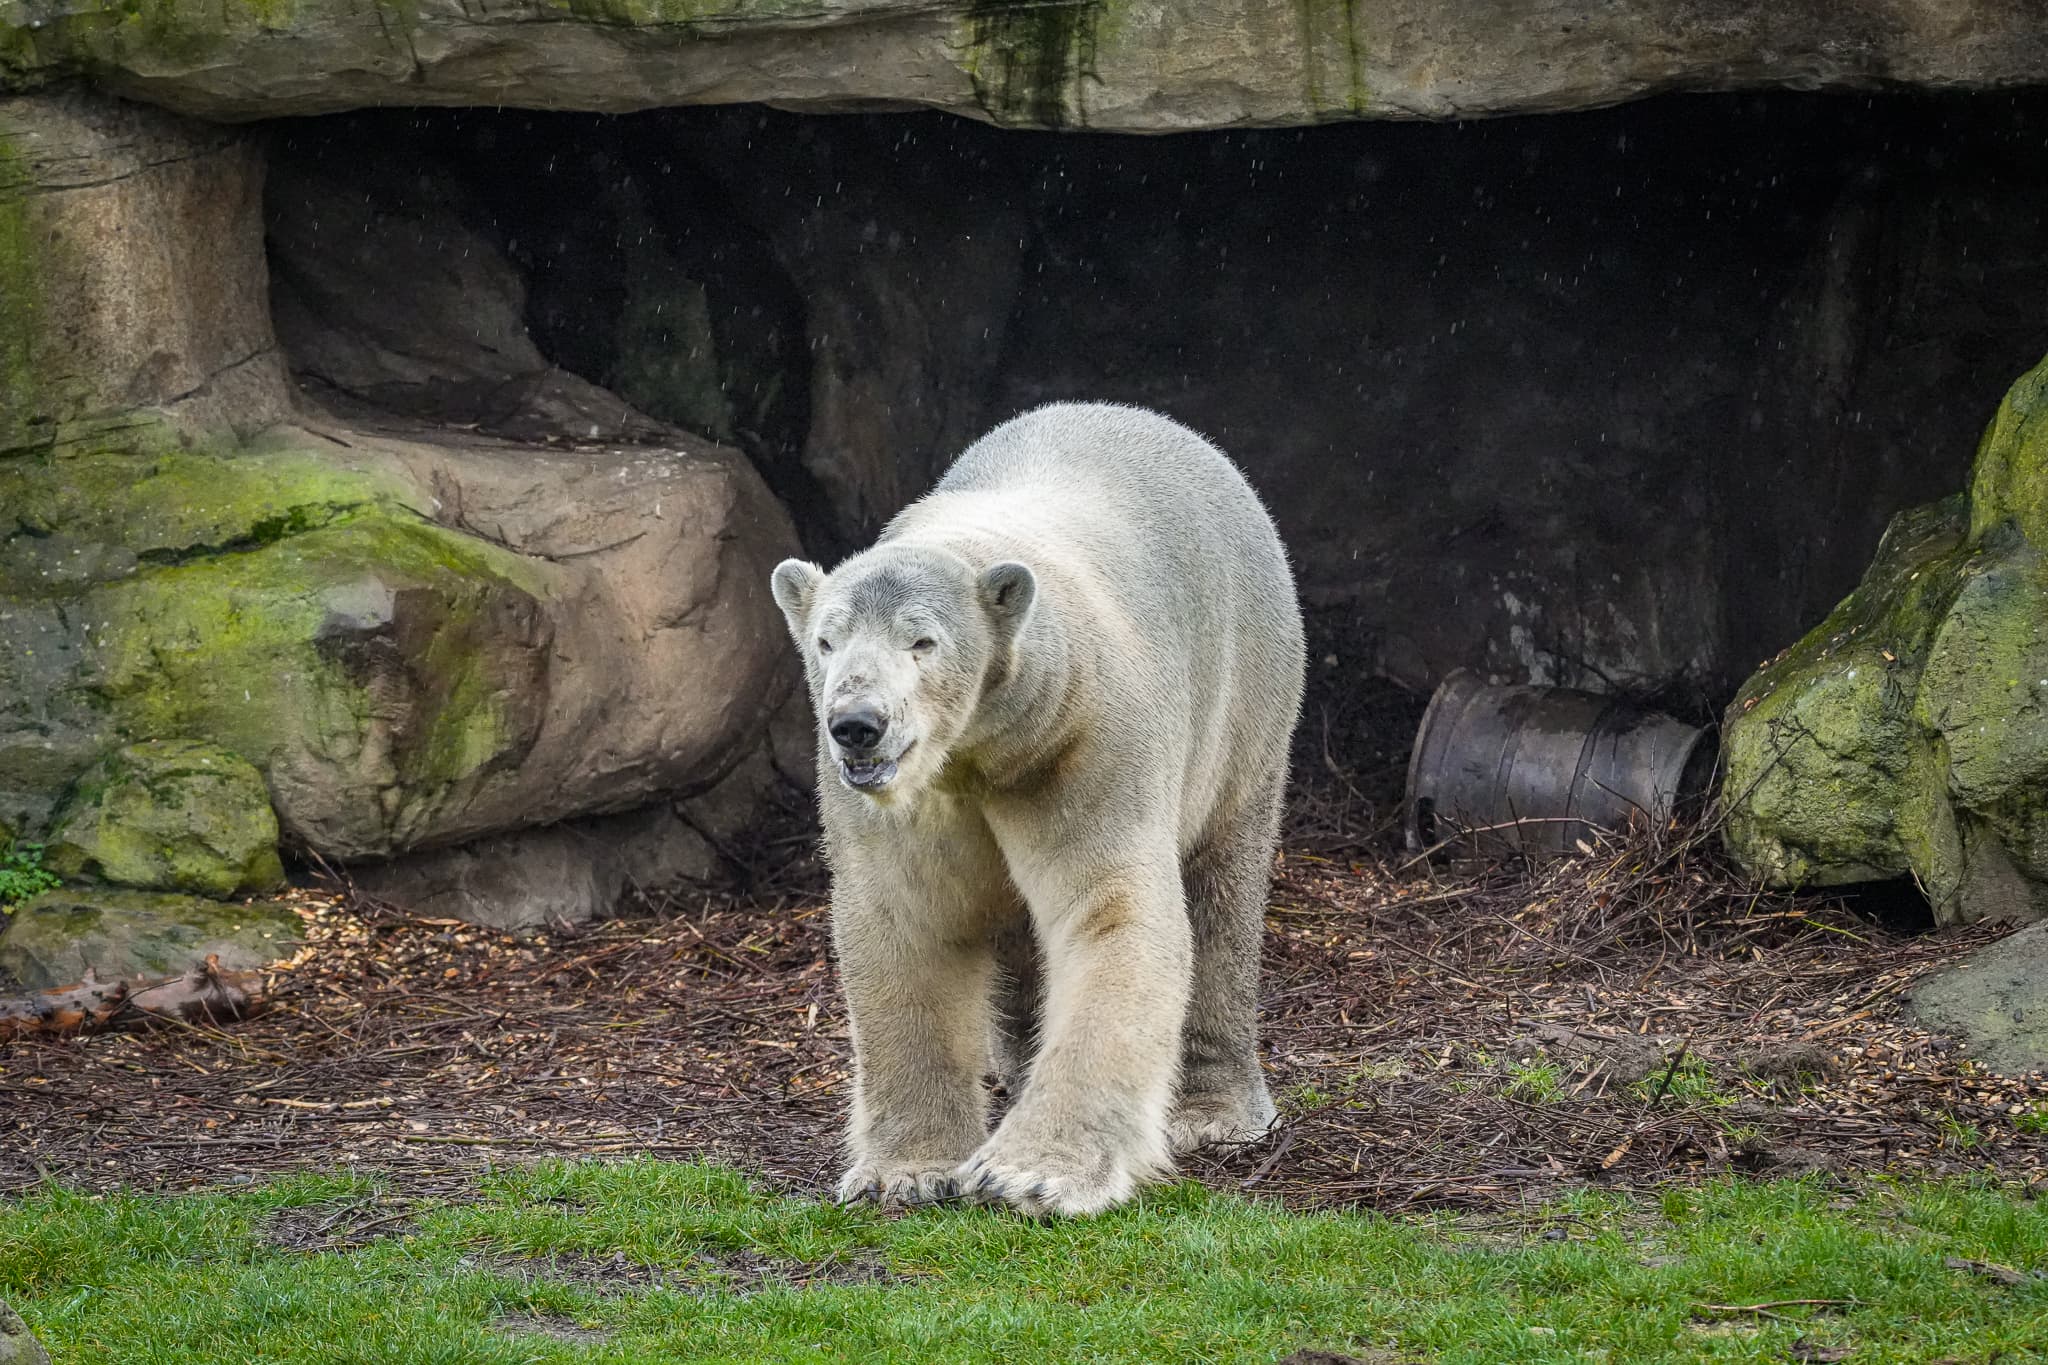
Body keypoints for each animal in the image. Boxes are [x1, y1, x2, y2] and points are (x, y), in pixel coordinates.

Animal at [769, 402, 1305, 1216]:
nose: (857, 723)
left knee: (1221, 887)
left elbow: (1112, 912)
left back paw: (1212, 1112)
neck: (982, 749)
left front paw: (1030, 1172)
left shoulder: (1084, 741)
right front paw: (905, 1172)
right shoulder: (908, 799)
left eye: (923, 641)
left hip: (1246, 692)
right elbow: (908, 920)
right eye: (827, 641)